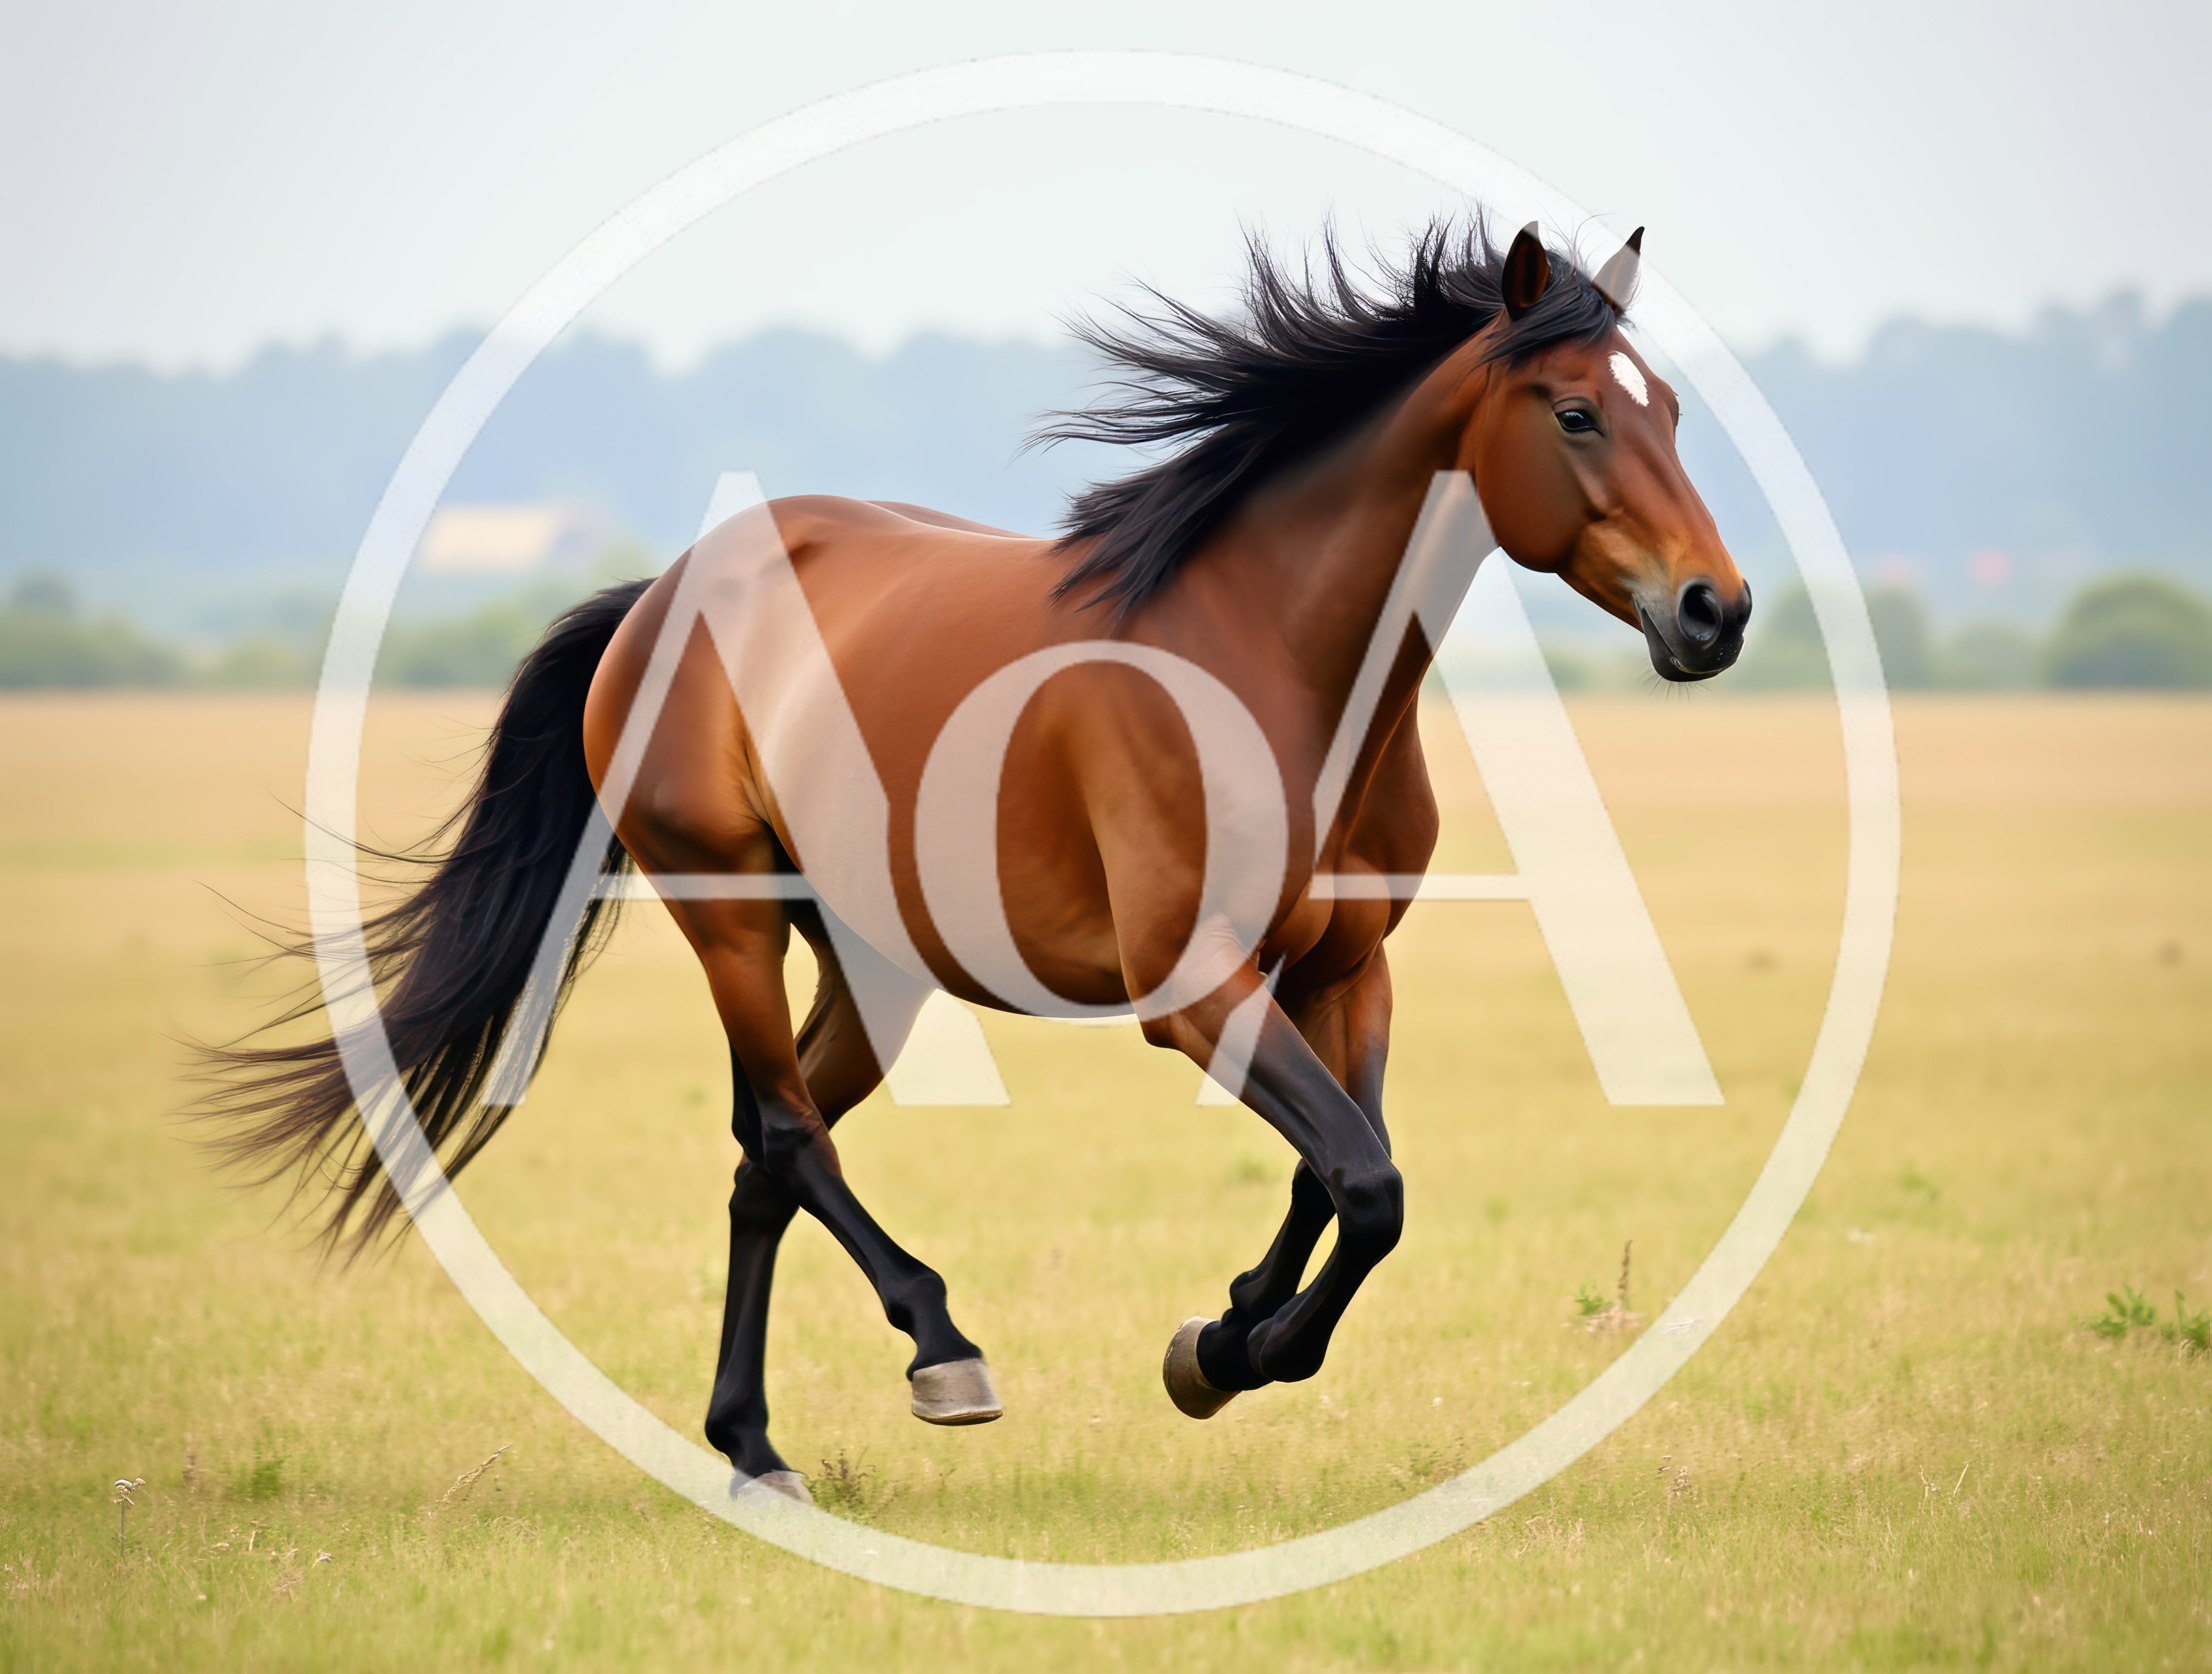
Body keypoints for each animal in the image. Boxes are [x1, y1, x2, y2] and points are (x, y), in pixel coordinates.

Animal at [208, 220, 1749, 1504]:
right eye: (1574, 411)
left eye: (1670, 409)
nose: (1714, 611)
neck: (1269, 664)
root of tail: (663, 593)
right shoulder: (1193, 990)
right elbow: (1366, 1181)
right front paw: (1231, 1349)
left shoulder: (1345, 971)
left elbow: (1347, 1175)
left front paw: (1225, 1330)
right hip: (727, 915)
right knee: (788, 1135)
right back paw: (937, 1351)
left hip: (872, 968)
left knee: (767, 1159)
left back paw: (752, 1446)